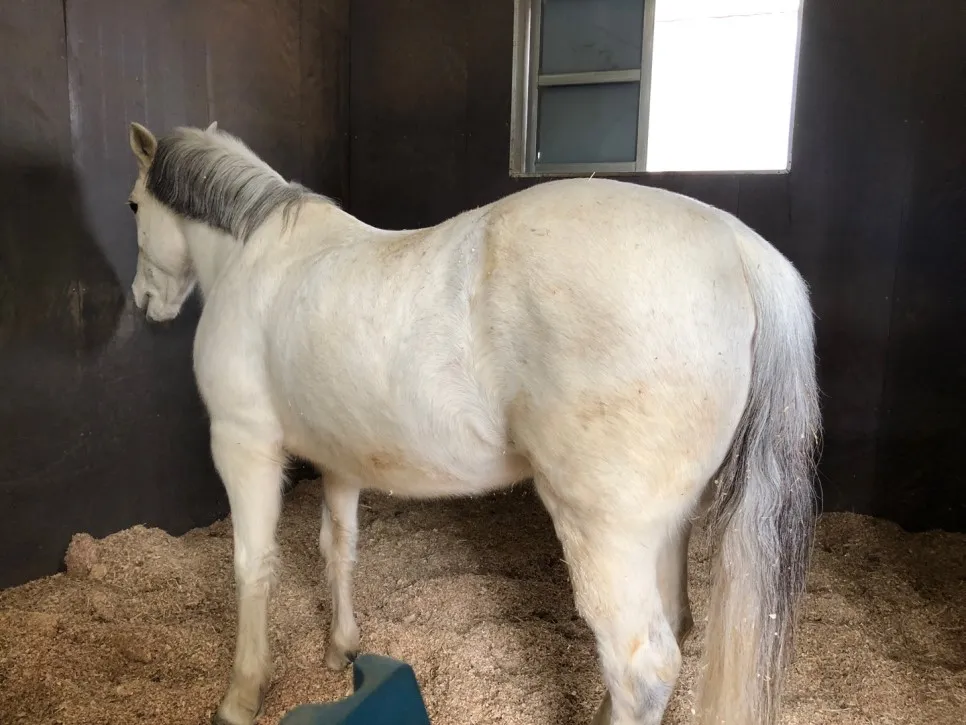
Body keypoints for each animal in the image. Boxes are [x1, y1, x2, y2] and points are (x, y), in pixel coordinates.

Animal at [126, 120, 820, 725]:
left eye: (133, 207)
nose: (143, 301)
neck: (260, 256)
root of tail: (736, 245)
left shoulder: (242, 445)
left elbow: (252, 564)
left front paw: (242, 694)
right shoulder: (340, 460)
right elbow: (338, 548)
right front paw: (342, 648)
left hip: (607, 535)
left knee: (643, 668)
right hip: (665, 529)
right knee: (674, 624)